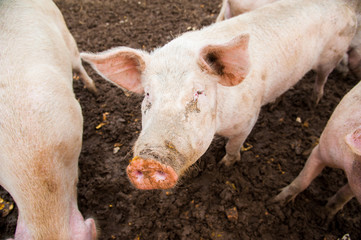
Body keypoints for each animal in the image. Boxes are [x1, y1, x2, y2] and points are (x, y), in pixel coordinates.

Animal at [79, 0, 358, 190]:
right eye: (148, 95)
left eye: (198, 92)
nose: (148, 160)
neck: (219, 124)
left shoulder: (247, 118)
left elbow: (233, 146)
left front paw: (225, 166)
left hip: (333, 54)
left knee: (322, 77)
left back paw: (314, 102)